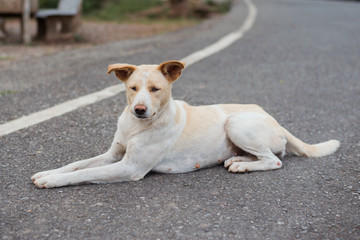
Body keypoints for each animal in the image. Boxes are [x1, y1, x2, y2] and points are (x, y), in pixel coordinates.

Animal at [31, 60, 340, 188]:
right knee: (266, 155)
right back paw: (238, 159)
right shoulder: (112, 155)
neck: (137, 126)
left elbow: (82, 173)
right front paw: (48, 172)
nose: (139, 109)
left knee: (274, 160)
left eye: (155, 89)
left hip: (236, 122)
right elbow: (77, 165)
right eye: (132, 88)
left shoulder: (130, 167)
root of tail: (271, 117)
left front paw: (52, 180)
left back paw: (243, 165)